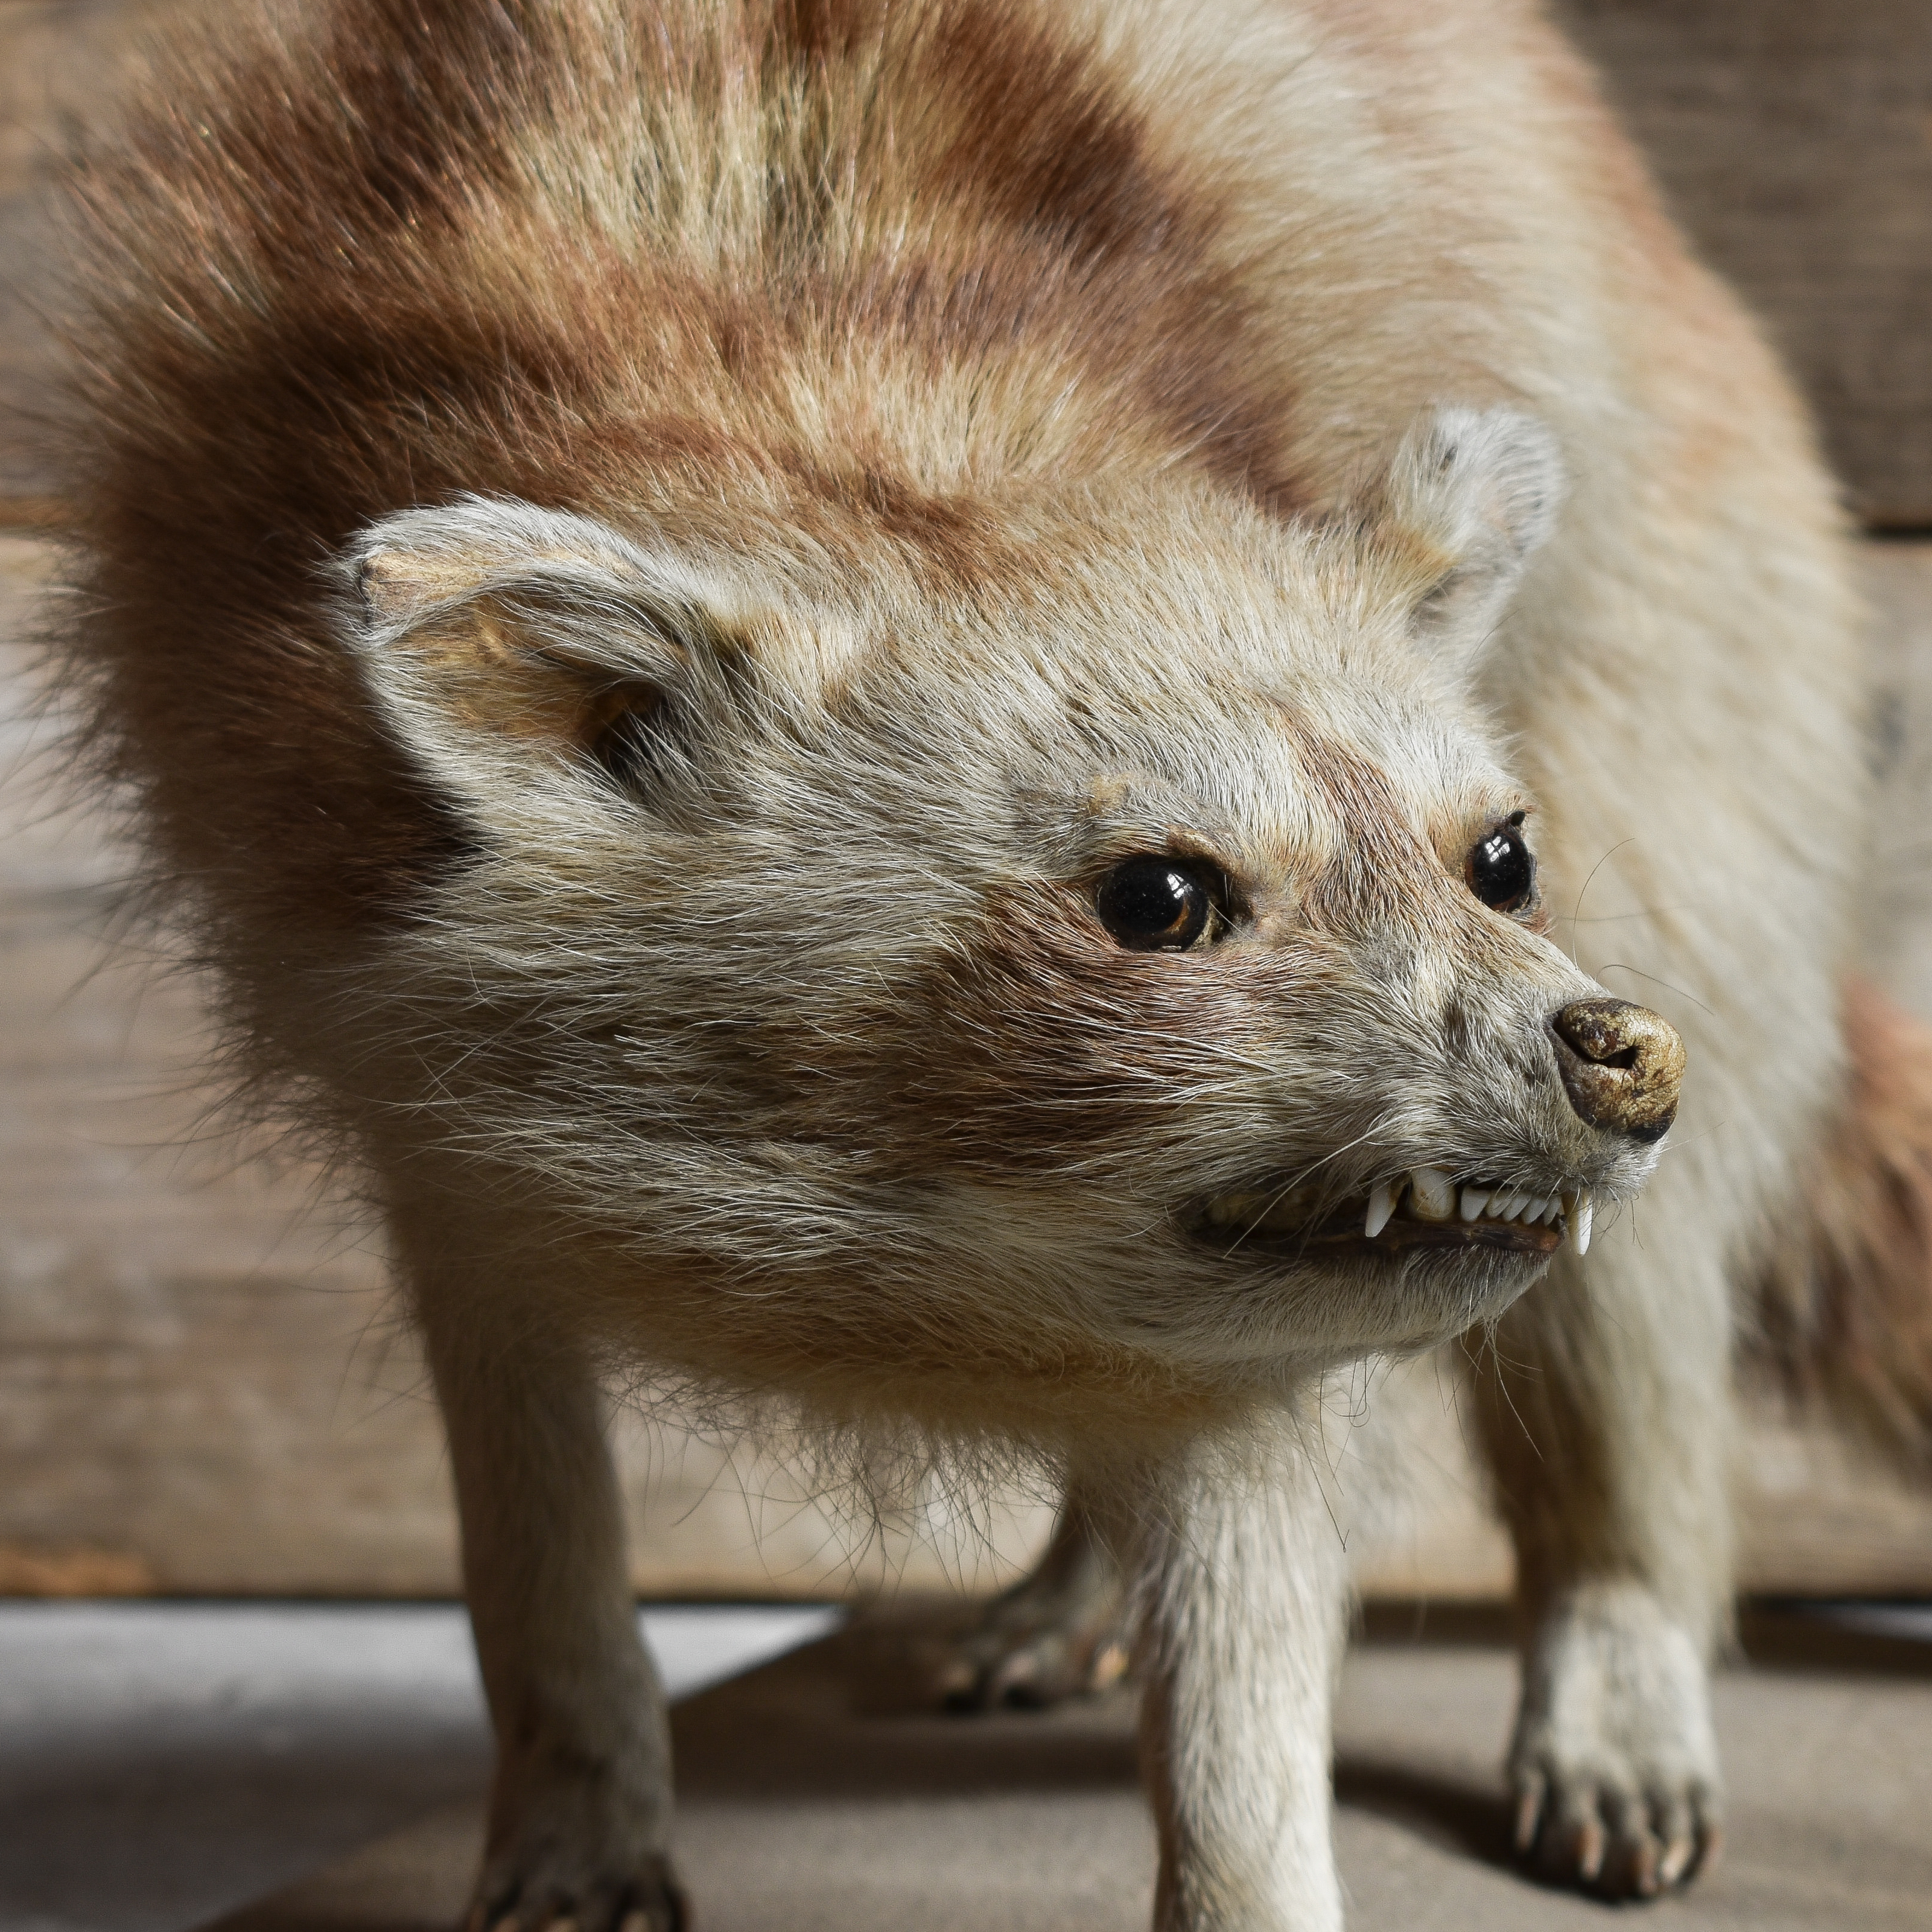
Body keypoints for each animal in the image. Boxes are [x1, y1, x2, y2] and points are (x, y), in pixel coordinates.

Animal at [50, 0, 1925, 1926]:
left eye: (1498, 859)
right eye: (1161, 899)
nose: (1612, 1054)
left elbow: (1259, 1552)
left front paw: (1253, 1842)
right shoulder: (360, 956)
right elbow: (514, 1444)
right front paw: (572, 1764)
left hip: (1690, 658)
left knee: (1635, 1300)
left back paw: (1613, 1616)